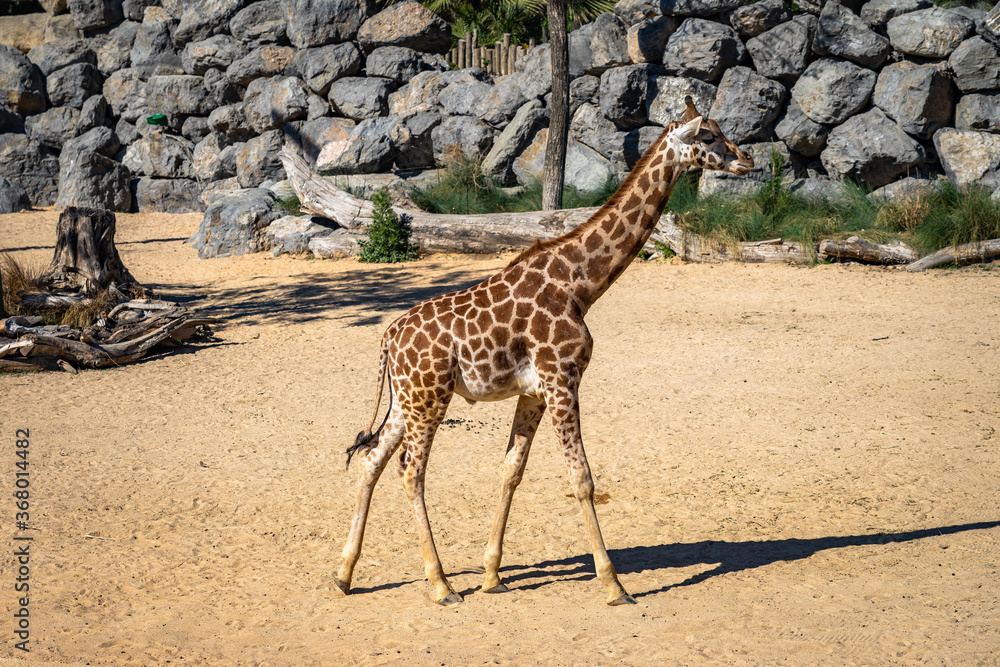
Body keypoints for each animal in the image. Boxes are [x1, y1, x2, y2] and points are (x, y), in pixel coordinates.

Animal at [335, 97, 754, 606]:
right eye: (708, 136)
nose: (747, 161)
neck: (580, 285)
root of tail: (389, 340)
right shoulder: (562, 379)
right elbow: (582, 479)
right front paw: (613, 584)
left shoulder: (533, 392)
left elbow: (511, 470)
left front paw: (492, 574)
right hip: (430, 397)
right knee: (410, 471)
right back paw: (441, 585)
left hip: (407, 400)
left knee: (372, 461)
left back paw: (344, 574)